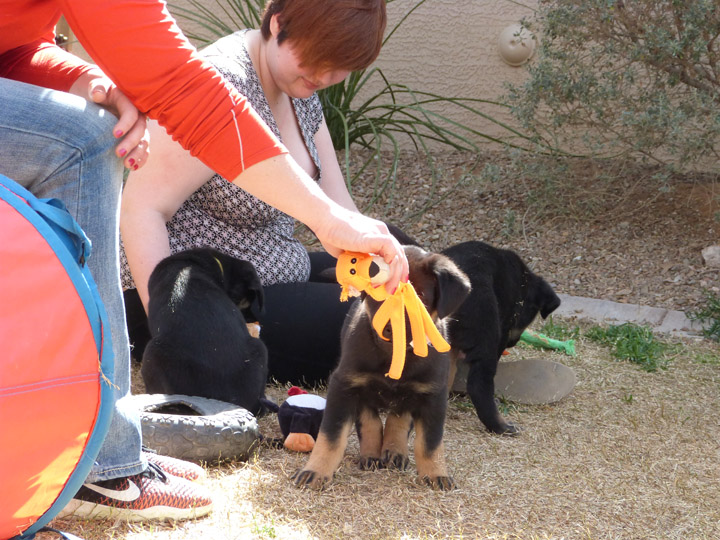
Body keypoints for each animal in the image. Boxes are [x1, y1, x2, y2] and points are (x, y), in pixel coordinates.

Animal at [290, 247, 470, 492]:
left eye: (420, 298)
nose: (391, 329)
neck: (394, 356)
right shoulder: (343, 384)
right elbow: (331, 436)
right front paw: (315, 470)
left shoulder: (433, 394)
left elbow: (430, 442)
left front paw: (436, 473)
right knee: (370, 419)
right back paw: (371, 454)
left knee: (399, 417)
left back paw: (395, 451)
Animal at [438, 240, 564, 434]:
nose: (514, 343)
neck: (522, 282)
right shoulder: (503, 328)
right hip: (486, 328)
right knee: (478, 385)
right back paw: (501, 426)